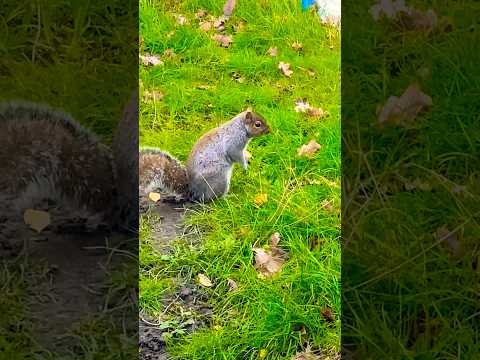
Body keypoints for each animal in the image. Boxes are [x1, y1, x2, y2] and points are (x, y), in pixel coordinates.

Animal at [141, 107, 272, 202]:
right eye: (257, 124)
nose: (269, 130)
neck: (240, 127)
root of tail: (194, 192)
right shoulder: (233, 143)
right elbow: (235, 155)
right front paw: (245, 167)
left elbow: (243, 154)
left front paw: (248, 160)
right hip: (220, 178)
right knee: (213, 198)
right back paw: (227, 197)